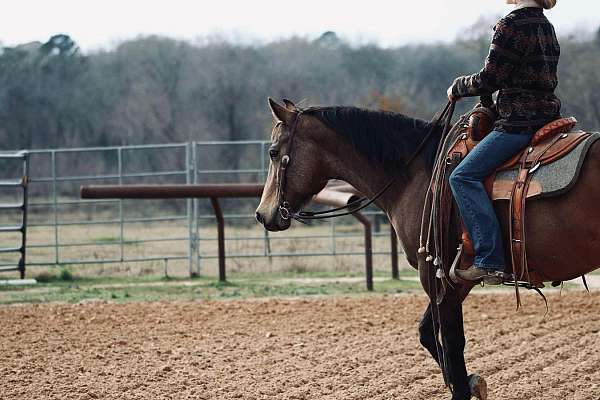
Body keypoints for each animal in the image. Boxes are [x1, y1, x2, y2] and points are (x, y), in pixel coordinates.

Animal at [254, 97, 600, 400]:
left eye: (273, 152)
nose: (262, 214)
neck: (414, 176)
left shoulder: (436, 274)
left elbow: (452, 342)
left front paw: (463, 386)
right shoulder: (456, 277)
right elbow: (428, 333)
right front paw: (473, 382)